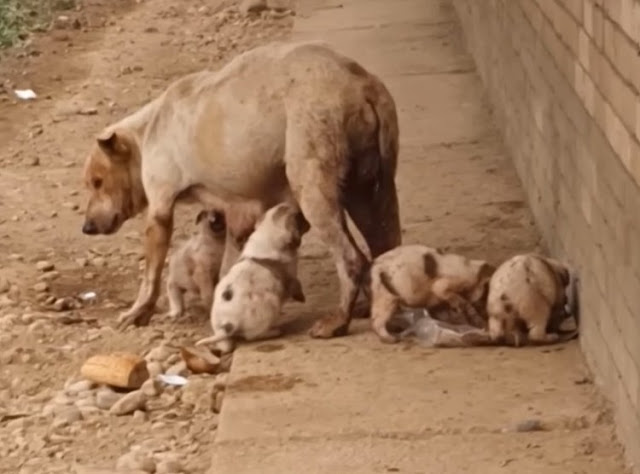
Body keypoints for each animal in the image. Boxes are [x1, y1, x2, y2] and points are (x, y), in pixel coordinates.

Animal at [80, 40, 400, 336]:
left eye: (97, 181)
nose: (87, 227)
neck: (146, 130)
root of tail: (360, 83)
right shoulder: (236, 212)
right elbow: (229, 260)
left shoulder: (161, 205)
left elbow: (152, 271)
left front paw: (137, 312)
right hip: (370, 188)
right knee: (385, 242)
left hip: (314, 177)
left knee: (351, 257)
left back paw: (338, 321)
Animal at [195, 202, 310, 354]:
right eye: (300, 217)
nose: (309, 223)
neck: (268, 233)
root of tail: (227, 326)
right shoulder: (290, 274)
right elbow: (296, 285)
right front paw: (301, 297)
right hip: (270, 306)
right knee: (252, 336)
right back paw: (274, 331)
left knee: (226, 344)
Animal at [364, 246, 496, 342]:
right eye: (486, 296)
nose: (487, 320)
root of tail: (372, 269)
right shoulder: (444, 284)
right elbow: (447, 293)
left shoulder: (436, 303)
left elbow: (442, 314)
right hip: (386, 298)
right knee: (376, 321)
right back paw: (392, 339)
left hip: (382, 298)